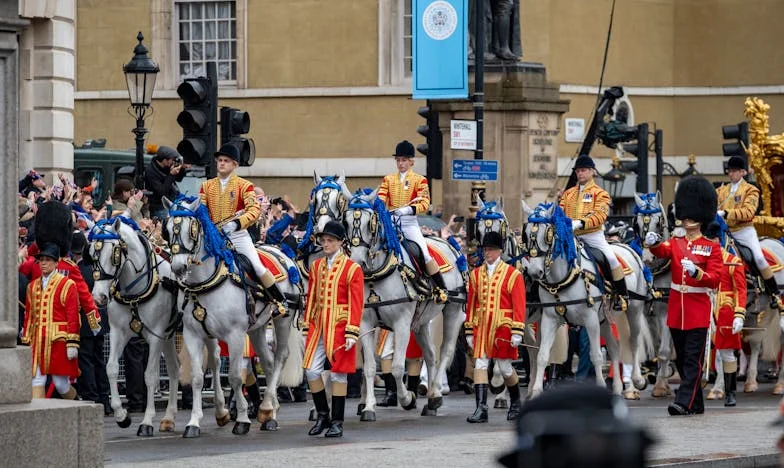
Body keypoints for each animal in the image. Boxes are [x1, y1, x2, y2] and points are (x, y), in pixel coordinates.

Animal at [89, 216, 181, 436]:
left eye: (114, 254)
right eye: (91, 255)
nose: (98, 297)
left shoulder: (154, 337)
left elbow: (150, 376)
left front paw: (146, 421)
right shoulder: (117, 333)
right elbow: (111, 368)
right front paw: (121, 415)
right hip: (169, 336)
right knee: (175, 369)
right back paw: (168, 418)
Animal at [162, 196, 304, 436]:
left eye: (192, 229)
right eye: (169, 228)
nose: (178, 267)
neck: (207, 282)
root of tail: (282, 251)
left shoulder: (235, 335)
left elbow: (236, 377)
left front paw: (243, 420)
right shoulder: (193, 334)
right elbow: (198, 378)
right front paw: (193, 423)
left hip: (282, 320)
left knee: (281, 357)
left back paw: (267, 408)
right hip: (257, 329)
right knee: (268, 362)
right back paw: (269, 413)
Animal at [344, 188, 466, 418]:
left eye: (370, 223)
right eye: (345, 222)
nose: (356, 262)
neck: (377, 275)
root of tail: (449, 244)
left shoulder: (401, 323)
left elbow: (398, 367)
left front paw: (407, 398)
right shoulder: (366, 323)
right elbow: (370, 367)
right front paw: (369, 407)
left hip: (453, 311)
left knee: (445, 351)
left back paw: (436, 395)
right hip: (421, 321)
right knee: (430, 354)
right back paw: (431, 397)